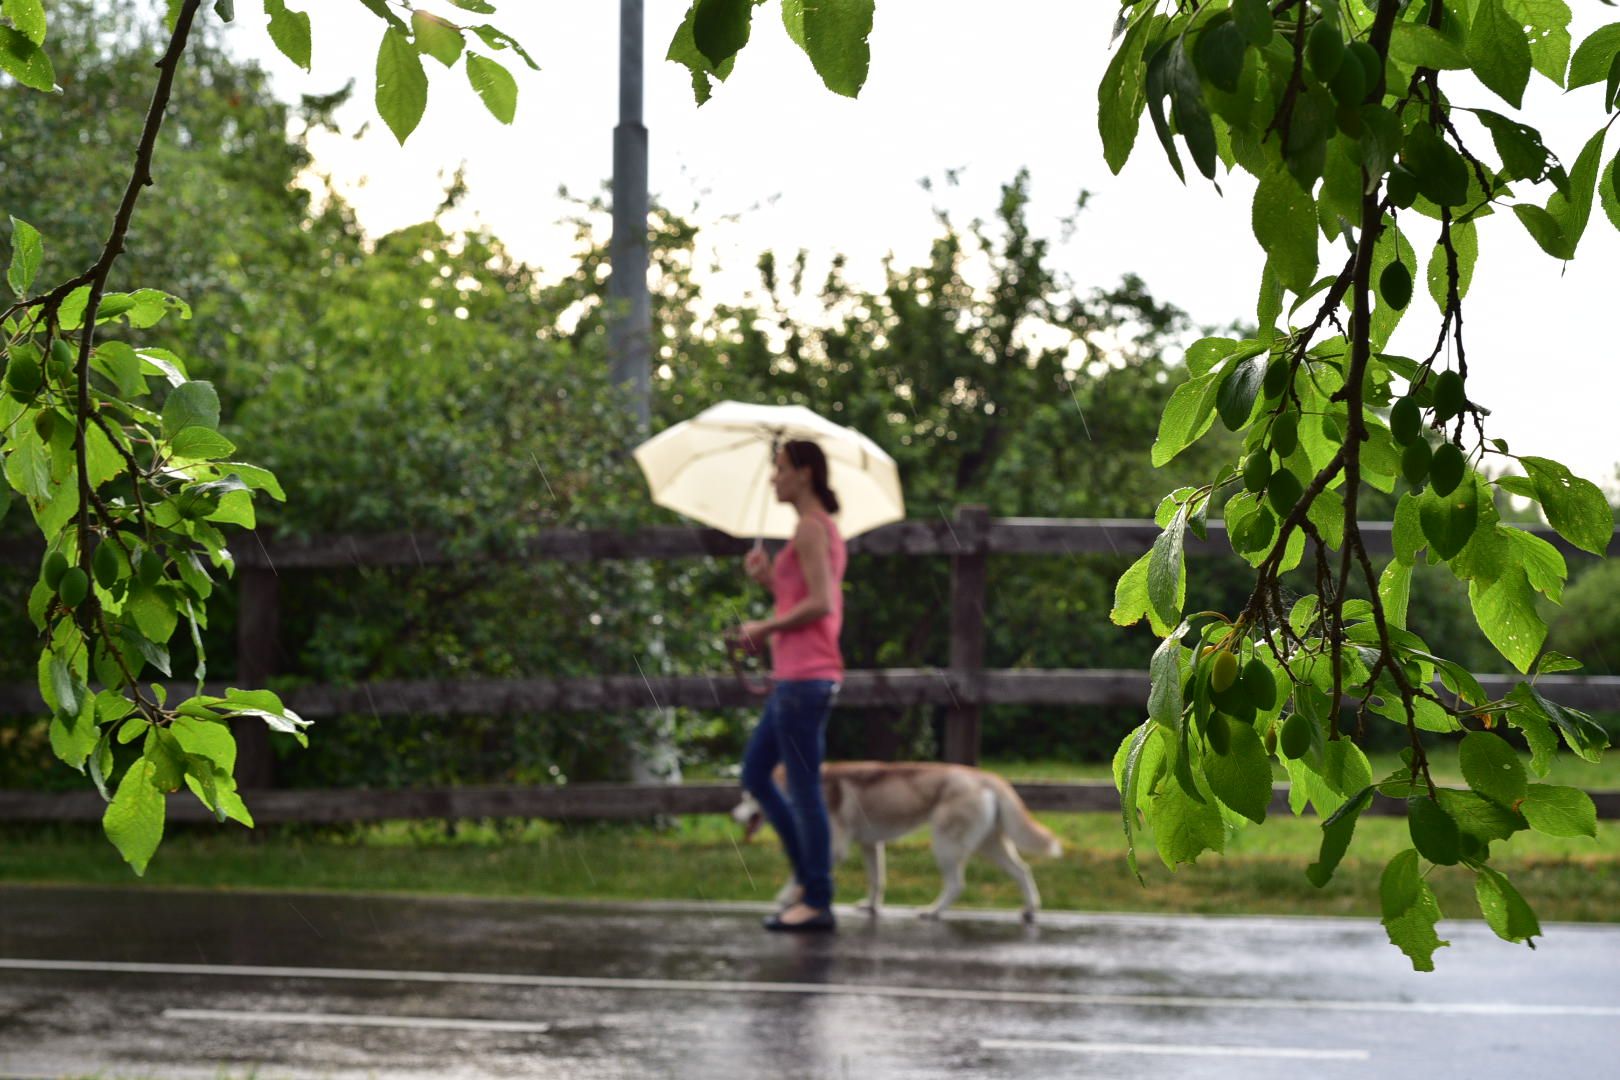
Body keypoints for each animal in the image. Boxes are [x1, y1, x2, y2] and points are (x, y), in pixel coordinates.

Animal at [735, 761, 1062, 919]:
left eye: (749, 796)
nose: (733, 814)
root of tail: (987, 777)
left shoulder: (833, 847)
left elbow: (801, 870)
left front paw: (788, 898)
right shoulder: (870, 845)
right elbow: (876, 880)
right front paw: (871, 907)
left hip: (946, 845)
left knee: (957, 884)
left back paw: (932, 911)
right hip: (990, 846)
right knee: (1022, 871)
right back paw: (1030, 908)